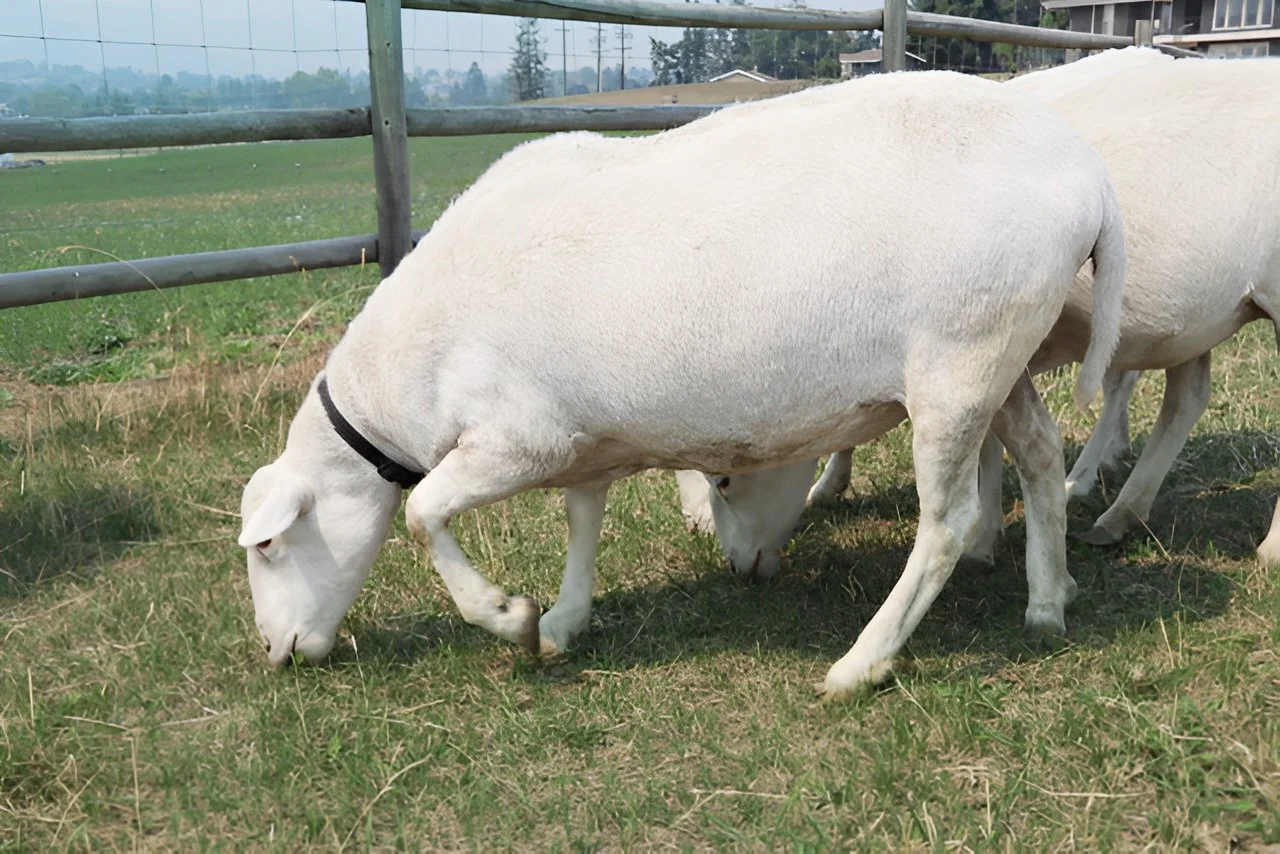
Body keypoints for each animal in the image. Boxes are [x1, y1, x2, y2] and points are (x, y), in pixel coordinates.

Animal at [238, 69, 1125, 699]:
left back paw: (860, 665)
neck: (405, 371)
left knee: (945, 525)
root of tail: (1090, 180)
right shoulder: (583, 439)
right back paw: (1049, 601)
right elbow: (583, 519)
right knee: (1041, 456)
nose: (277, 651)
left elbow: (423, 512)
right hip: (1002, 354)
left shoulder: (519, 439)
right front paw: (563, 621)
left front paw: (508, 616)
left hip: (957, 364)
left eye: (270, 544)